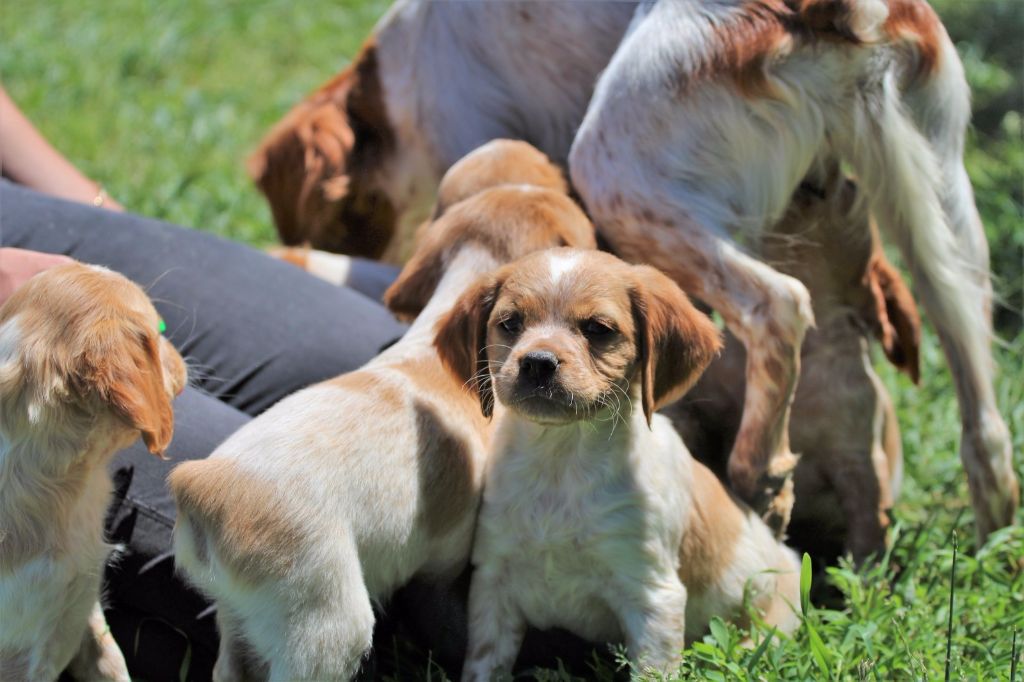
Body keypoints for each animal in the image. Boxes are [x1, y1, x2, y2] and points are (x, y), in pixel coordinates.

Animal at [432, 246, 798, 675]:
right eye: (510, 323)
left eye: (598, 329)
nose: (537, 362)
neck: (561, 463)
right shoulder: (495, 580)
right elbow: (484, 667)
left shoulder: (653, 594)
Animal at [663, 176, 921, 561]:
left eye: (851, 188)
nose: (844, 175)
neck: (809, 353)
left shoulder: (860, 459)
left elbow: (869, 526)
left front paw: (862, 574)